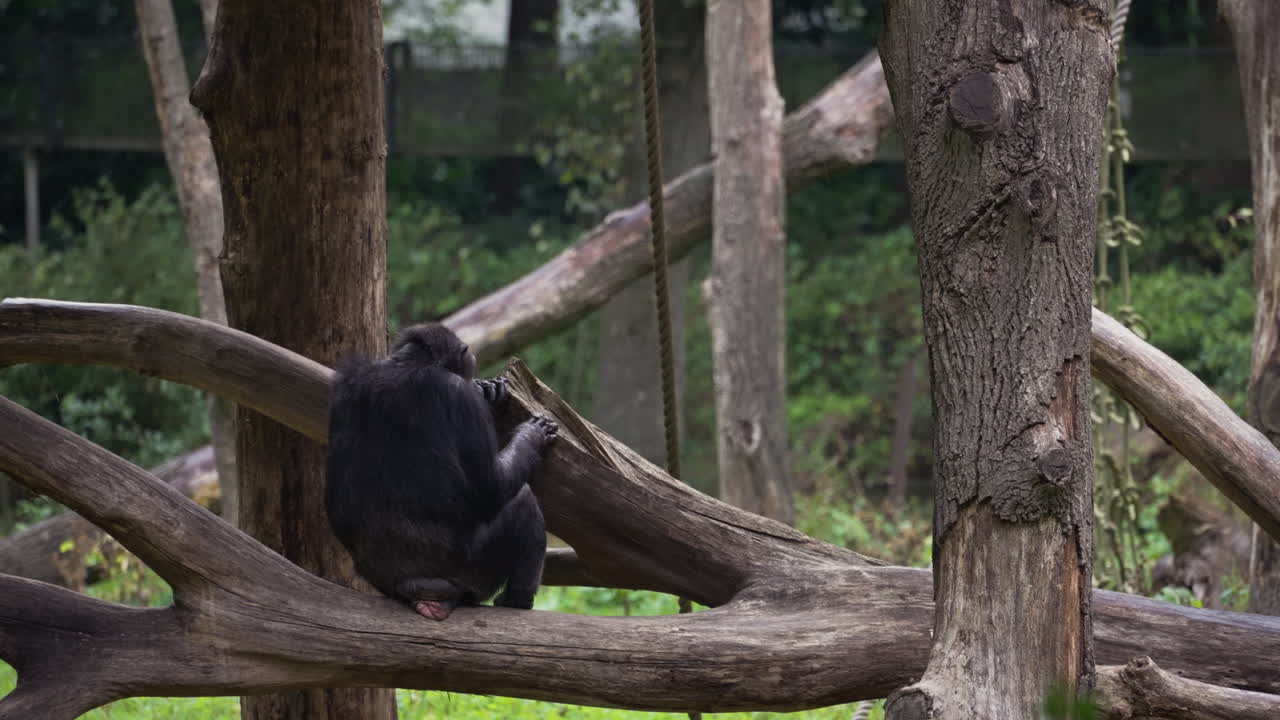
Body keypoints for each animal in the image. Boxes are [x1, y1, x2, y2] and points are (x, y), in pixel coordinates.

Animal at [324, 322, 558, 621]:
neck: (406, 363)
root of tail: (416, 586)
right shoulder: (458, 394)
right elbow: (491, 486)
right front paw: (532, 434)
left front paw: (489, 391)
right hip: (471, 572)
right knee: (523, 503)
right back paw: (517, 600)